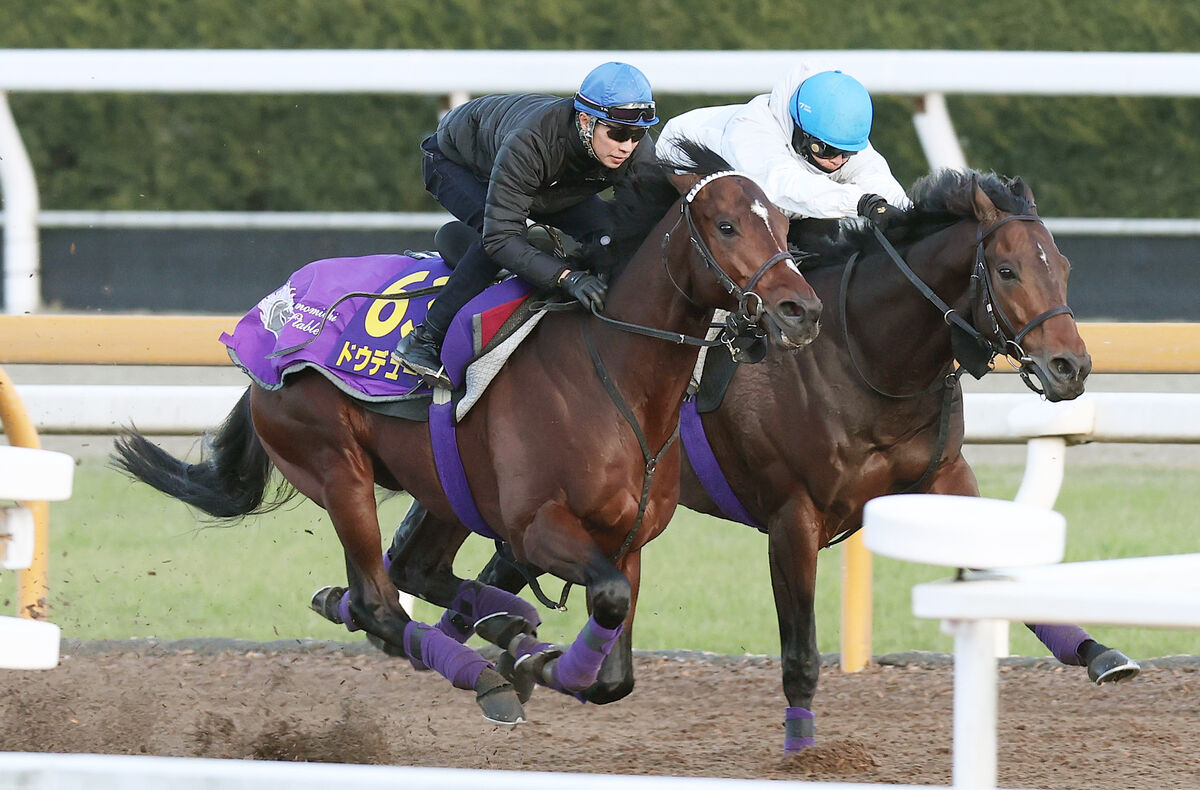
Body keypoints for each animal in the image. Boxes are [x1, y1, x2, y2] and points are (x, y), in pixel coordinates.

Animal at [110, 147, 825, 720]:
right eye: (727, 225)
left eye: (785, 224)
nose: (802, 311)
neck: (616, 376)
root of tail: (270, 318)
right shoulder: (537, 526)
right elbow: (605, 603)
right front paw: (523, 663)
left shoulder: (628, 541)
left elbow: (612, 673)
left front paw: (532, 656)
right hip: (336, 465)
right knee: (378, 602)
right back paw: (477, 665)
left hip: (444, 488)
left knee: (414, 573)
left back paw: (488, 621)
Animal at [429, 169, 1132, 739]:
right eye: (1008, 270)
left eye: (1063, 266)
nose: (1071, 367)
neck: (864, 356)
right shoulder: (794, 517)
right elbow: (800, 652)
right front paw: (802, 744)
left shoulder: (944, 477)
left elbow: (1006, 568)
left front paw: (1098, 652)